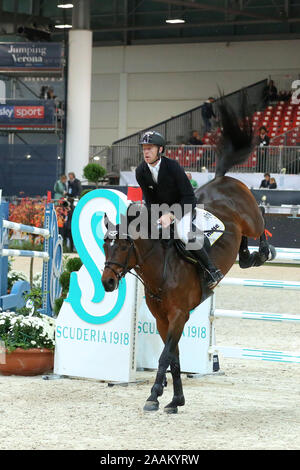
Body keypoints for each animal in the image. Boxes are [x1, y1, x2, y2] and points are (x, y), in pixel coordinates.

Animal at [102, 97, 276, 414]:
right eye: (105, 245)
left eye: (122, 245)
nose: (107, 282)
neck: (161, 269)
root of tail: (222, 179)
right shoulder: (163, 319)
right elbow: (174, 358)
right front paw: (175, 400)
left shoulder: (179, 314)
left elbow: (165, 357)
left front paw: (153, 396)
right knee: (243, 243)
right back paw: (249, 257)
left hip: (251, 216)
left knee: (261, 218)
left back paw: (266, 251)